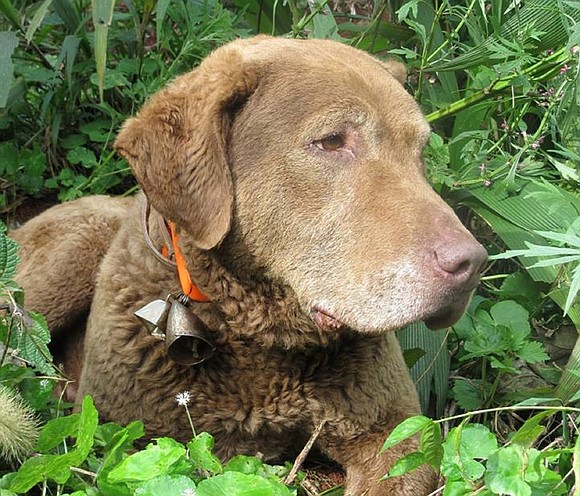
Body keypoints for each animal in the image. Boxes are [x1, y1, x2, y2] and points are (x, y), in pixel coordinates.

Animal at [11, 36, 488, 494]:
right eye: (332, 141)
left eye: (420, 151)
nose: (471, 263)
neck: (260, 337)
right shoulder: (120, 434)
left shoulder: (397, 429)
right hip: (68, 258)